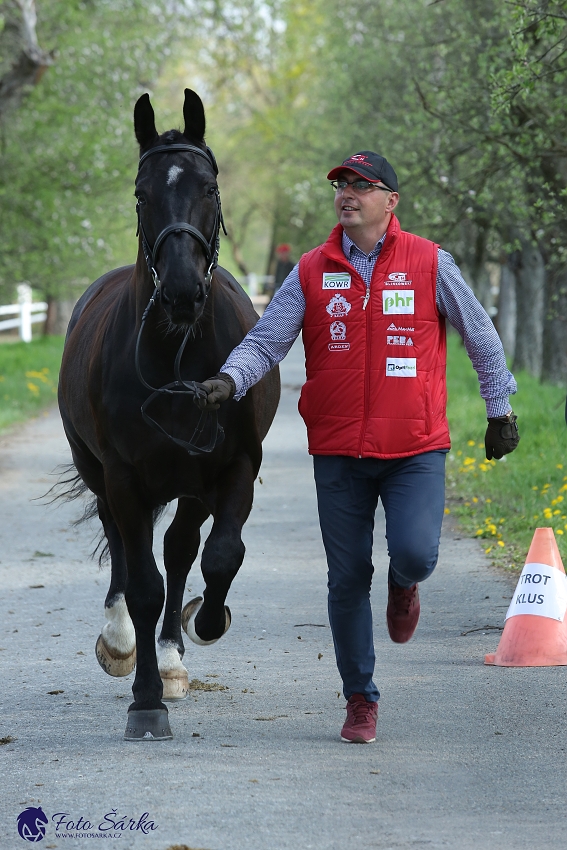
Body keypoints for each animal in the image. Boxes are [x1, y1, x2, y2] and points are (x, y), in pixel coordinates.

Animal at [57, 88, 280, 736]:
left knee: (182, 548)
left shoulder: (232, 467)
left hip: (191, 483)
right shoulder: (126, 478)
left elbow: (220, 555)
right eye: (141, 192)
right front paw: (146, 697)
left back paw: (177, 654)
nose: (182, 292)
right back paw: (122, 644)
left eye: (209, 186)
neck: (179, 354)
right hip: (101, 473)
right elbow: (142, 585)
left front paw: (204, 625)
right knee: (123, 547)